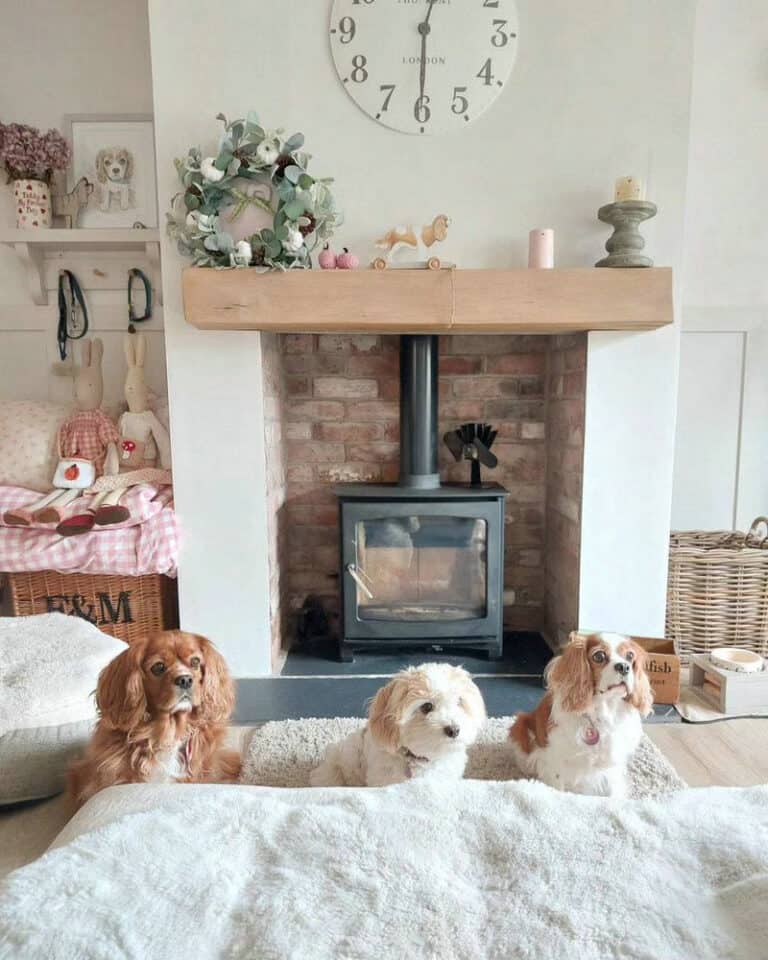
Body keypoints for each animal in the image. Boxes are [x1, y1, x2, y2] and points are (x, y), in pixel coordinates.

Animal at [510, 632, 656, 796]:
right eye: (599, 656)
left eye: (630, 656)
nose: (624, 666)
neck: (602, 713)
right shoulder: (555, 762)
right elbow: (558, 788)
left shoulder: (613, 767)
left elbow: (614, 791)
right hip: (520, 727)